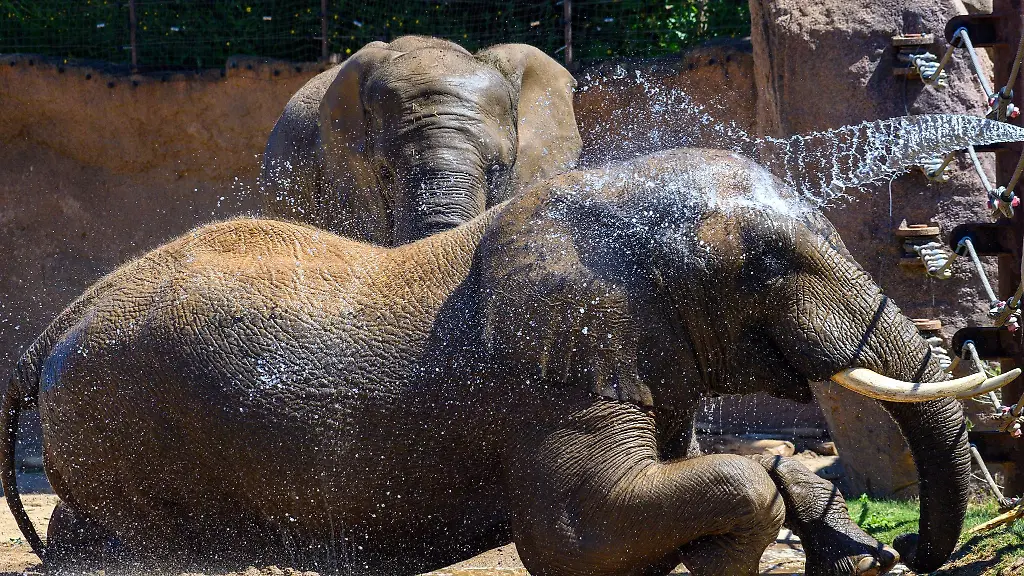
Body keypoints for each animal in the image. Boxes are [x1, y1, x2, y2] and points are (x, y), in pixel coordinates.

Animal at [3, 148, 1010, 575]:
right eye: (766, 264)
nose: (910, 551)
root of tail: (56, 324)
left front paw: (844, 548)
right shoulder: (557, 368)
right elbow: (575, 532)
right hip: (130, 424)